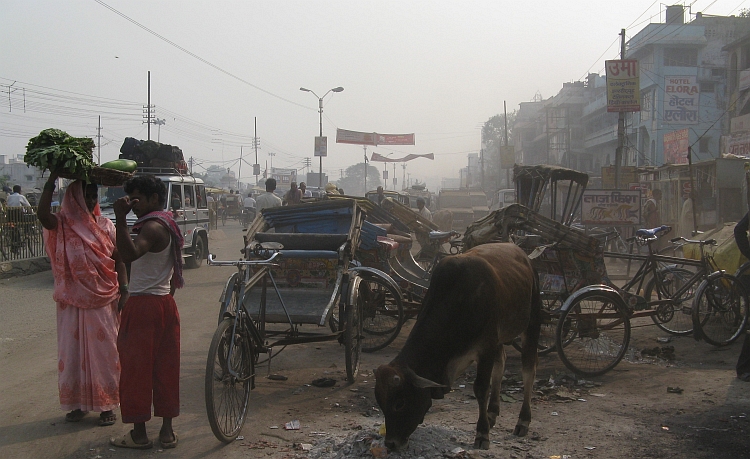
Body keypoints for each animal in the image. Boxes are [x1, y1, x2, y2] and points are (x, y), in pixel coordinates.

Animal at [376, 243, 540, 452]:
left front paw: (482, 434)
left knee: (528, 370)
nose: (391, 443)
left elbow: (480, 389)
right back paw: (492, 413)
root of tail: (522, 254)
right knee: (500, 365)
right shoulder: (489, 344)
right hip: (501, 337)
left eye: (400, 403)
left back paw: (523, 421)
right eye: (380, 403)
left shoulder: (486, 348)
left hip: (532, 323)